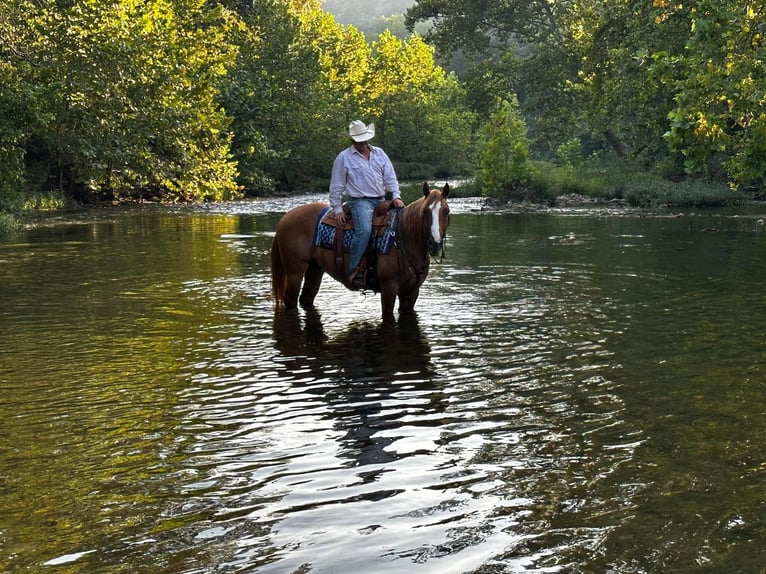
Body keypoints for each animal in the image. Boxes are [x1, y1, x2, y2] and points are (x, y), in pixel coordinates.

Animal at [270, 182, 450, 318]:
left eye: (446, 211)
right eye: (425, 211)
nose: (434, 243)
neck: (401, 237)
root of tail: (284, 219)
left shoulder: (412, 292)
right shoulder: (389, 288)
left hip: (315, 269)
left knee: (306, 299)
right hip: (294, 271)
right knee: (290, 300)